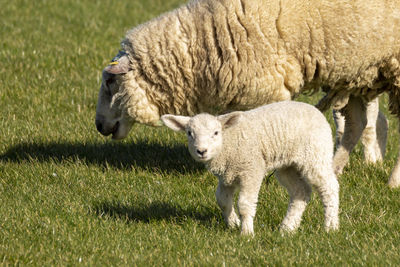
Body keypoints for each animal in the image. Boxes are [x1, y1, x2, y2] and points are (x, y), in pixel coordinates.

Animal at [96, 0, 400, 187]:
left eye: (110, 82)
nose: (99, 125)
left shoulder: (269, 88)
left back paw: (393, 182)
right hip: (362, 70)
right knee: (357, 124)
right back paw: (334, 169)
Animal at [161, 101, 340, 236]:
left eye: (216, 132)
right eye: (189, 133)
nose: (201, 151)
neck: (228, 142)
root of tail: (316, 111)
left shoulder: (251, 169)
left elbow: (245, 204)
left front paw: (246, 233)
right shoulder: (226, 176)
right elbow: (222, 200)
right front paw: (233, 223)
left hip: (316, 153)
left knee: (329, 187)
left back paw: (331, 226)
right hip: (288, 165)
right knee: (300, 192)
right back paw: (287, 228)